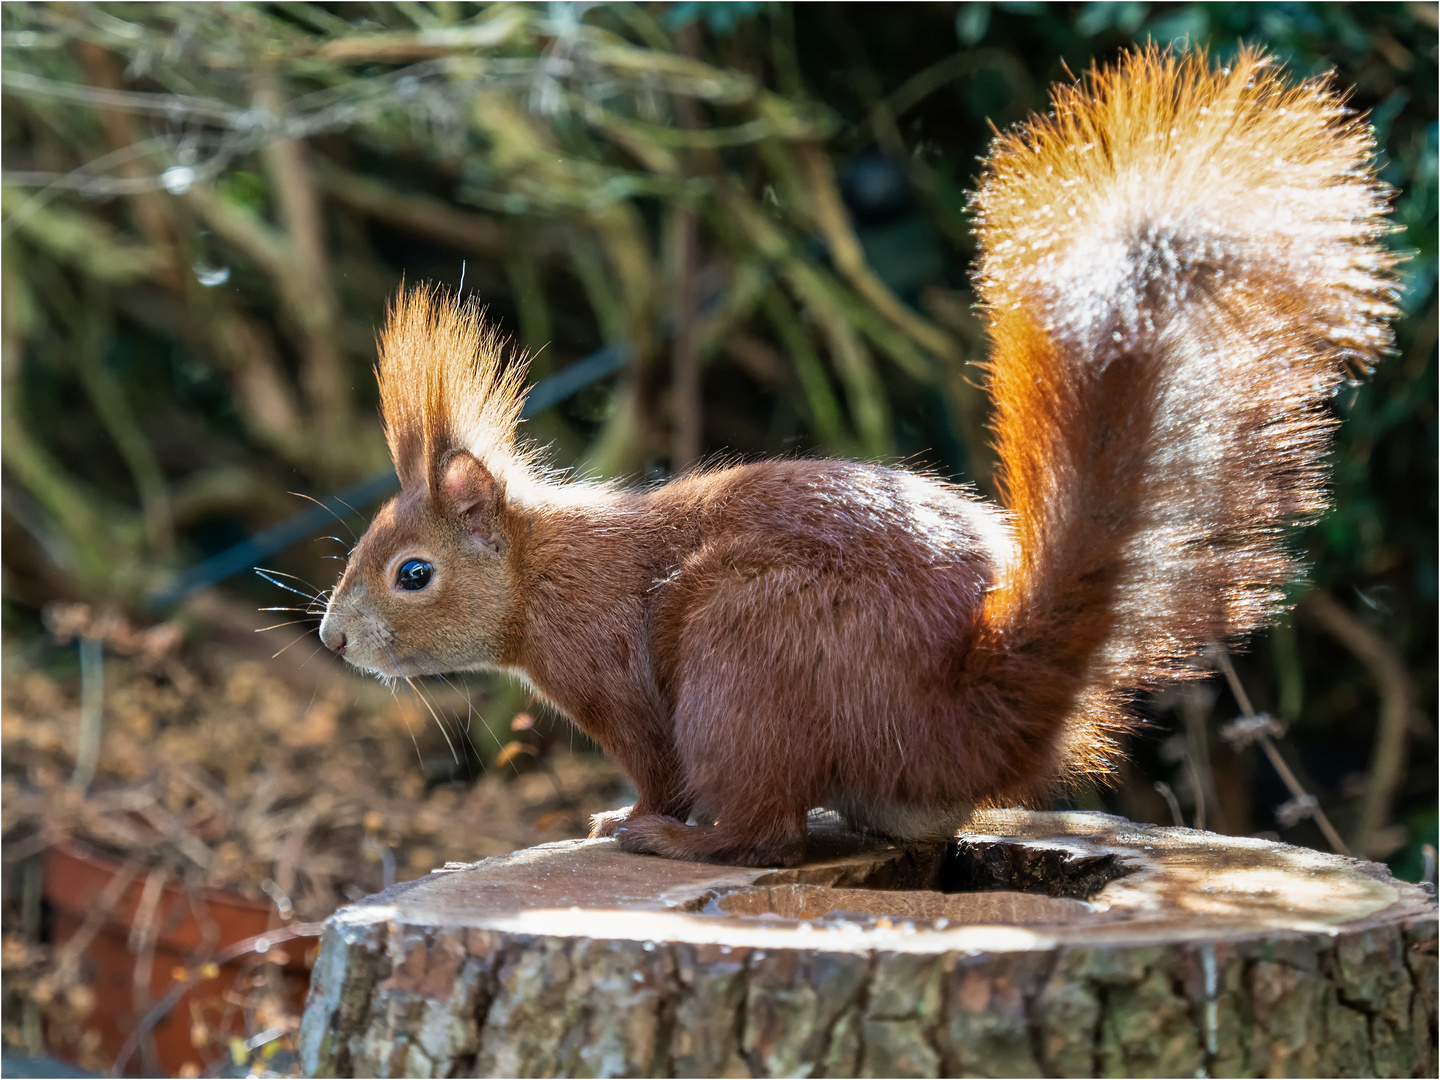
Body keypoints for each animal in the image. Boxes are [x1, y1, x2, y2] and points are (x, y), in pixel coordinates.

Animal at [318, 50, 1393, 869]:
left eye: (412, 574)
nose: (332, 639)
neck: (544, 570)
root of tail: (963, 720)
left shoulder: (618, 672)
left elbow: (658, 767)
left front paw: (635, 814)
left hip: (746, 652)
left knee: (766, 832)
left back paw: (675, 843)